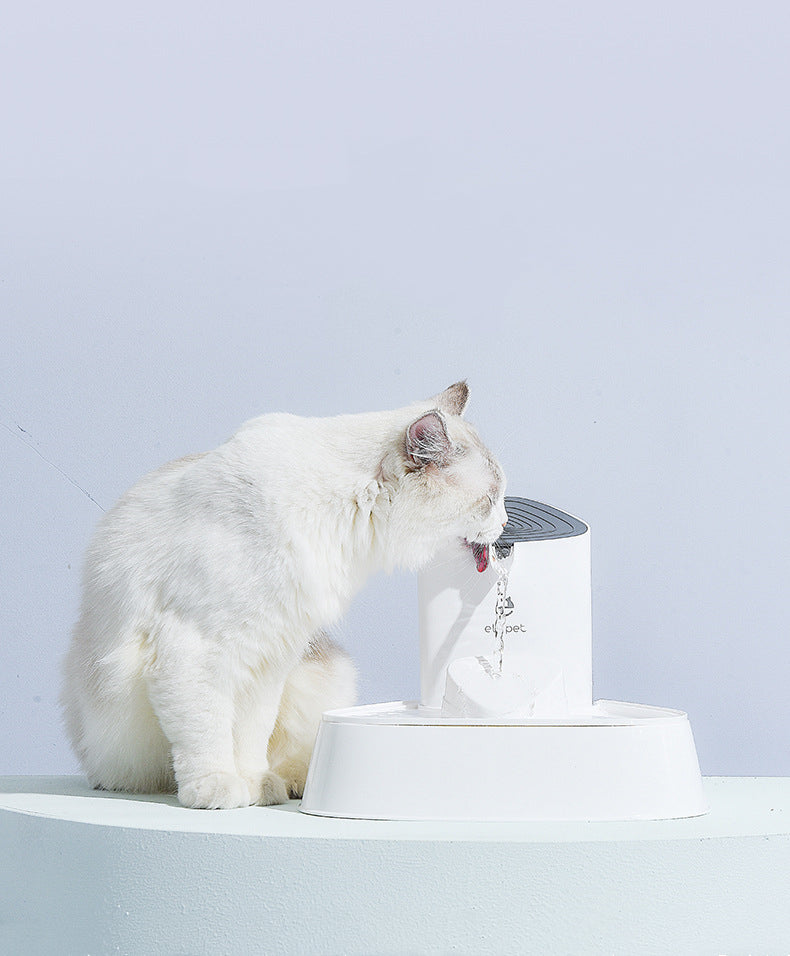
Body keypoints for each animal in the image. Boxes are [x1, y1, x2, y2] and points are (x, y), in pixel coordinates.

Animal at [60, 380, 508, 808]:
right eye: (489, 501)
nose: (505, 524)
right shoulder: (199, 651)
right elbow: (208, 733)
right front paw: (218, 788)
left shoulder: (267, 659)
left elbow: (249, 738)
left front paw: (255, 786)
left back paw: (291, 783)